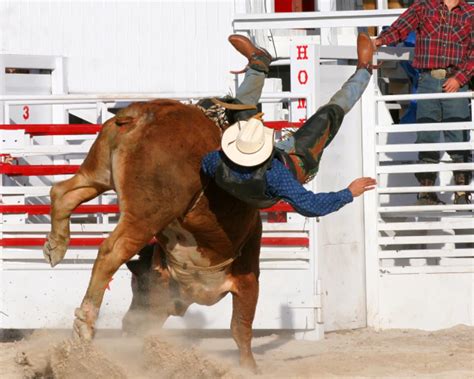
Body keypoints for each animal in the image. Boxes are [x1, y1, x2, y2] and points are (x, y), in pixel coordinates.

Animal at [44, 100, 262, 372]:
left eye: (138, 286)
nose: (128, 325)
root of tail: (141, 114)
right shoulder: (248, 278)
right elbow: (241, 328)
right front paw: (249, 368)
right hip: (146, 214)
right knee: (112, 251)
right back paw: (85, 323)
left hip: (98, 174)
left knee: (63, 193)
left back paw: (56, 245)